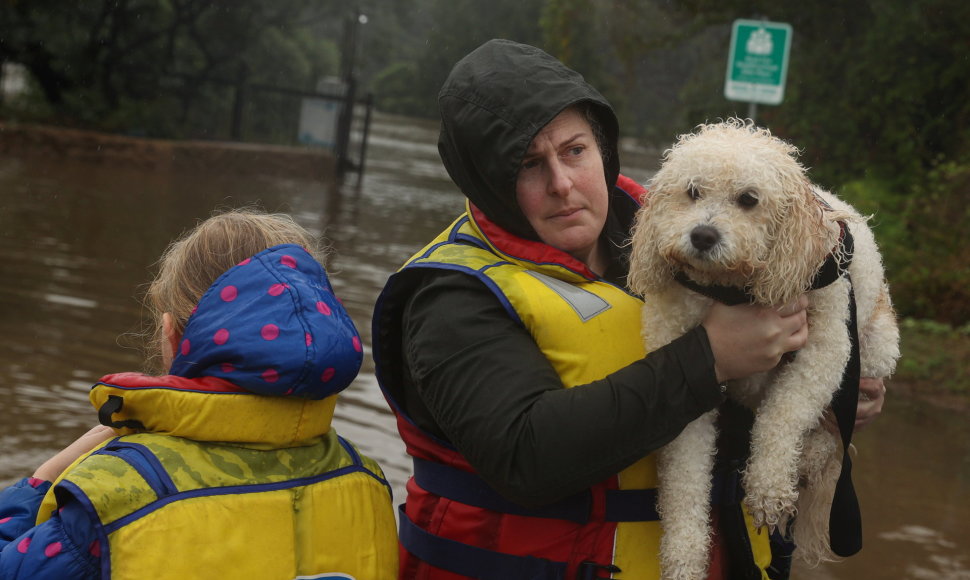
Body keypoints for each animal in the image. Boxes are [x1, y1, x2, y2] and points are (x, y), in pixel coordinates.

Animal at [628, 119, 900, 580]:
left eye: (749, 199)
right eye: (692, 191)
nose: (702, 235)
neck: (732, 289)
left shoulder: (826, 350)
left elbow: (784, 412)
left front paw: (769, 486)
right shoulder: (691, 390)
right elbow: (685, 479)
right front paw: (684, 554)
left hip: (876, 349)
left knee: (828, 435)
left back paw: (808, 457)